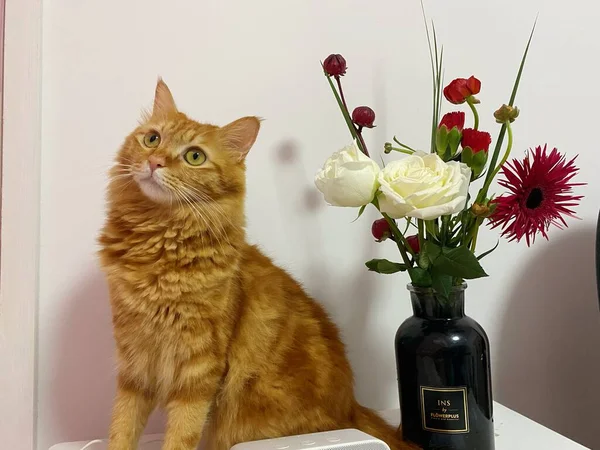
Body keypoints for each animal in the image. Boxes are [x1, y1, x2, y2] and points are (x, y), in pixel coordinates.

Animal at [98, 81, 418, 450]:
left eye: (194, 156)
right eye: (152, 139)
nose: (155, 161)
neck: (158, 246)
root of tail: (352, 407)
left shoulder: (199, 370)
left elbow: (181, 434)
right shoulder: (134, 363)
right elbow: (122, 427)